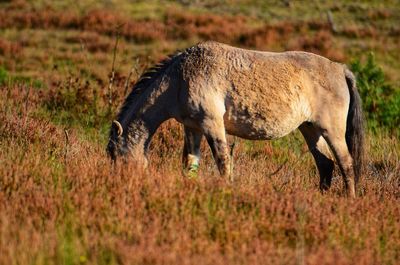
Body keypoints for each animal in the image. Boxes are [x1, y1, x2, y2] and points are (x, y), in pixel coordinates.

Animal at [108, 40, 364, 196]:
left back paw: (348, 201)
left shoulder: (212, 124)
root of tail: (340, 69)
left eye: (116, 157)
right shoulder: (193, 128)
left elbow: (222, 161)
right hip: (310, 129)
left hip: (331, 130)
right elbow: (190, 163)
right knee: (325, 164)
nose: (120, 185)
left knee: (346, 163)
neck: (180, 78)